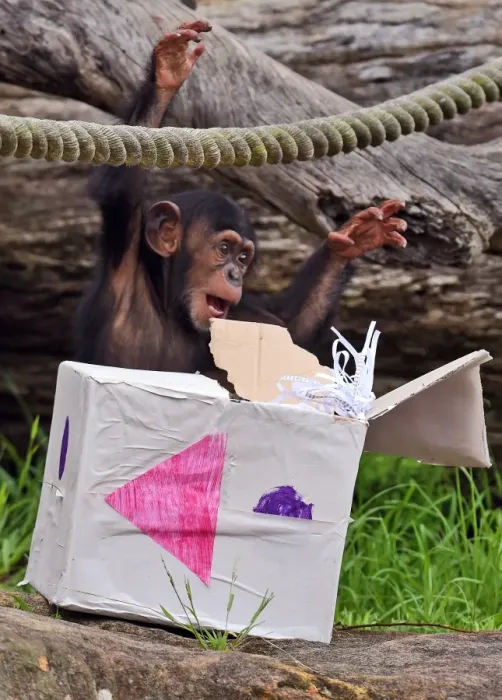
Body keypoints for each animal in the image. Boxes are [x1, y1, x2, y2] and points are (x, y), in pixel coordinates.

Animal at [76, 19, 407, 378]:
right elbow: (121, 182)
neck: (172, 309)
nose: (234, 274)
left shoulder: (242, 316)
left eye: (243, 257)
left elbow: (288, 329)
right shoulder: (124, 251)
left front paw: (352, 240)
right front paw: (166, 73)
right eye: (223, 249)